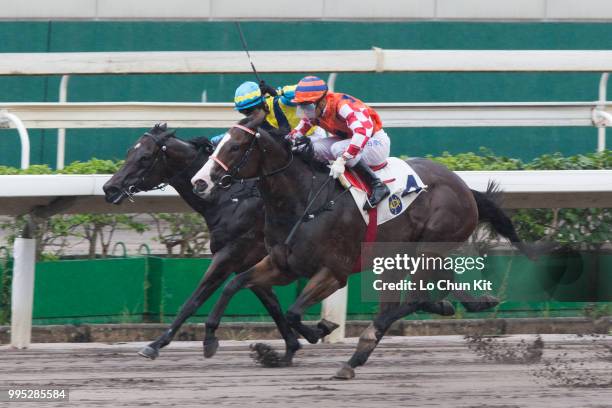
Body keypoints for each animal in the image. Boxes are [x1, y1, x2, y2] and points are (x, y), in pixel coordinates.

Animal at [195, 111, 532, 380]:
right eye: (218, 143)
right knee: (427, 291)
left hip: (425, 249)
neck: (304, 200)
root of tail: (464, 187)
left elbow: (292, 312)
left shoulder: (333, 272)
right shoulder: (282, 264)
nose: (200, 181)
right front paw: (210, 338)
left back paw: (357, 354)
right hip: (405, 256)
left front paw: (321, 329)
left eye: (235, 146)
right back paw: (467, 303)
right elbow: (234, 284)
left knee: (406, 301)